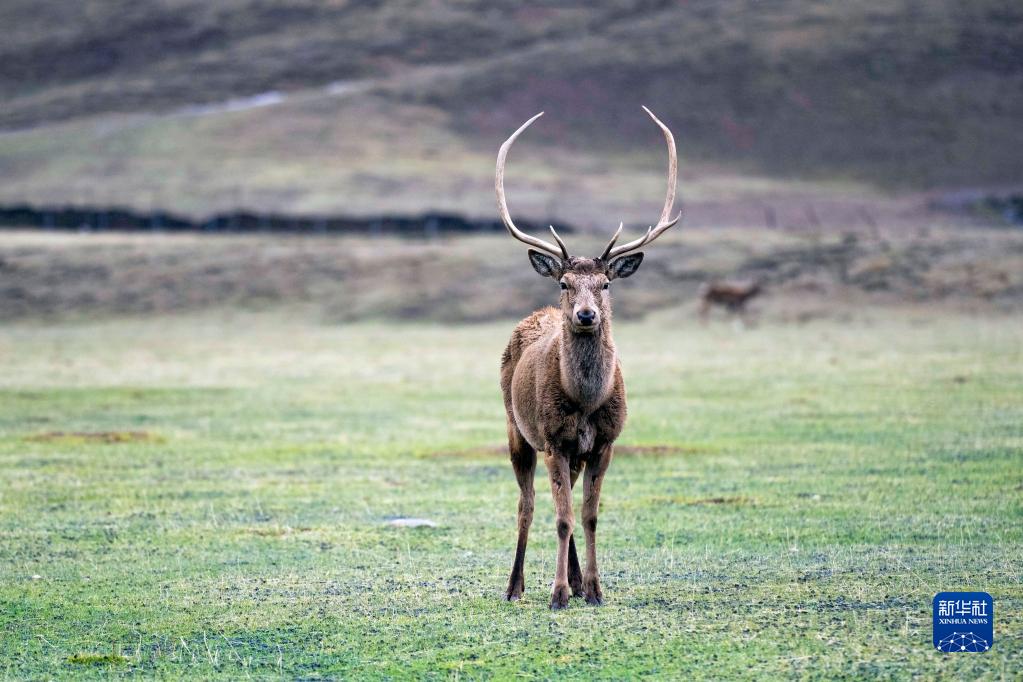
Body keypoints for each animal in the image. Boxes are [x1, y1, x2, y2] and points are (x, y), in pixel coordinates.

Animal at [497, 107, 680, 609]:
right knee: (528, 504)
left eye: (606, 283)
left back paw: (578, 581)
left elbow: (590, 515)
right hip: (517, 430)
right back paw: (515, 586)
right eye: (565, 282)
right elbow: (561, 518)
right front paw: (558, 593)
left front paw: (595, 589)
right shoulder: (554, 439)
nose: (585, 314)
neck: (585, 400)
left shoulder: (604, 442)